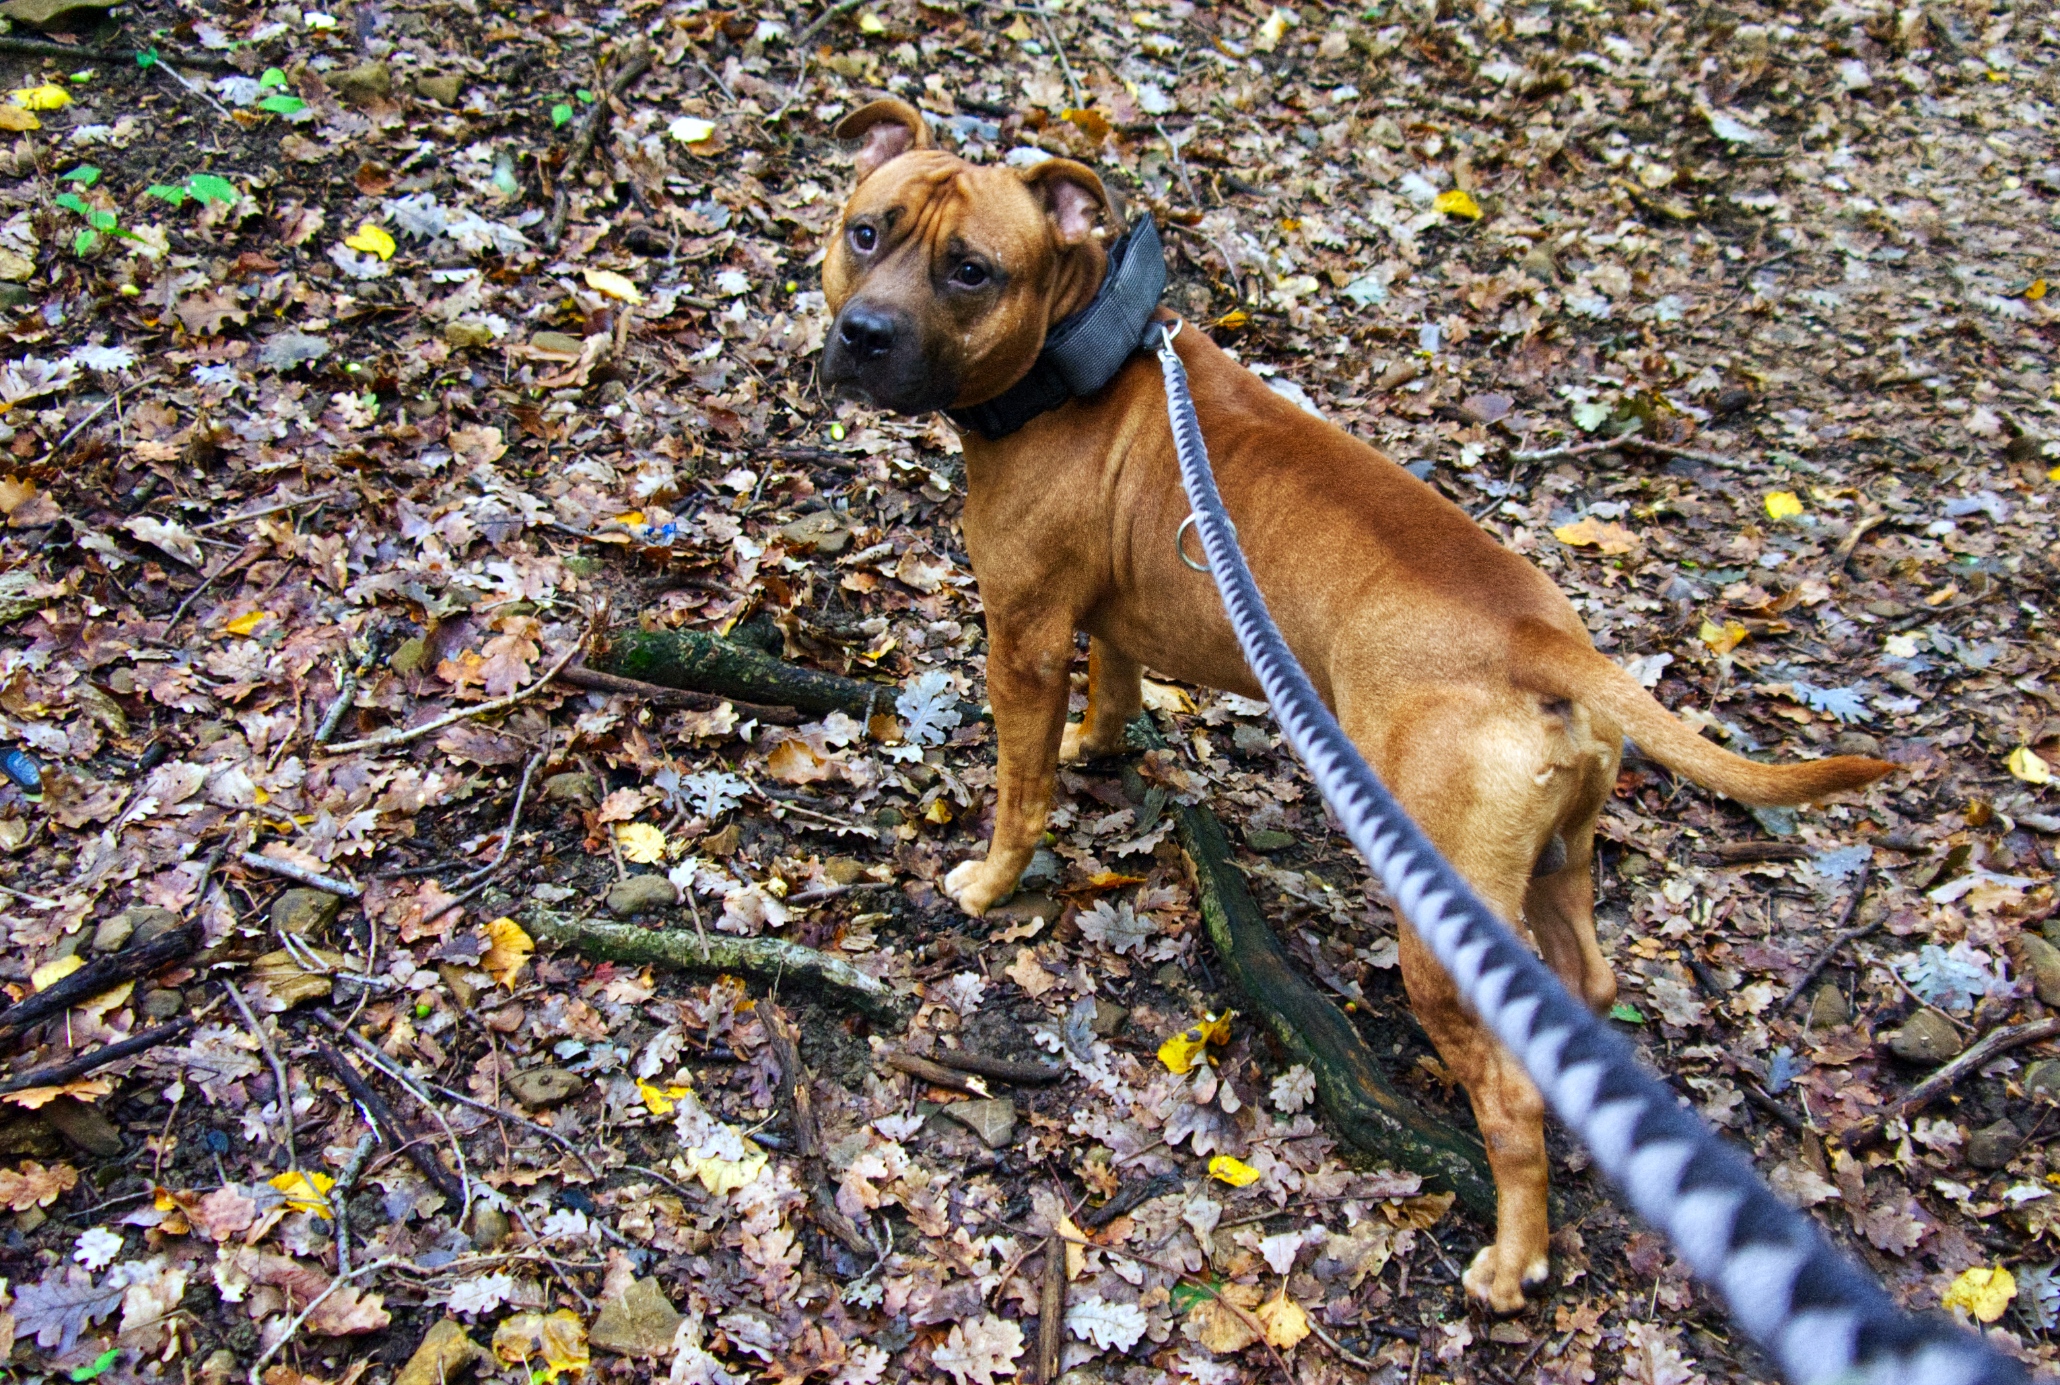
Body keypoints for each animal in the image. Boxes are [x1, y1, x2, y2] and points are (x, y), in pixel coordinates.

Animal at [811, 99, 1886, 1319]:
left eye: (971, 270)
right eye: (864, 229)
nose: (862, 334)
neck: (1077, 350)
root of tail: (1545, 640)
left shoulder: (1024, 638)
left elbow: (1019, 786)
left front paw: (992, 880)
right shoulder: (1110, 616)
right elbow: (1115, 685)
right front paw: (1100, 746)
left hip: (1439, 920)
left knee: (1510, 1098)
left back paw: (1510, 1257)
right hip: (1556, 863)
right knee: (1583, 990)